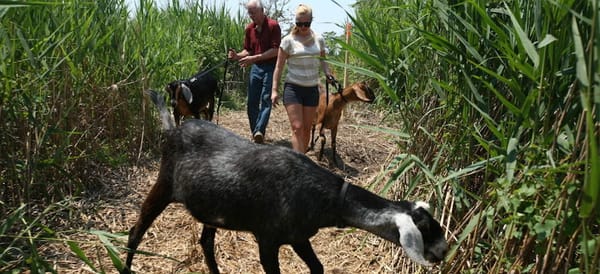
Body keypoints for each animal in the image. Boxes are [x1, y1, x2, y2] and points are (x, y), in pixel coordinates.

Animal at [122, 90, 448, 274]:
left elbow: (318, 267)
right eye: (426, 228)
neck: (323, 197)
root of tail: (172, 129)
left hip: (212, 209)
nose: (444, 251)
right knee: (135, 233)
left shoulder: (299, 236)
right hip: (163, 185)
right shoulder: (267, 240)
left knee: (206, 242)